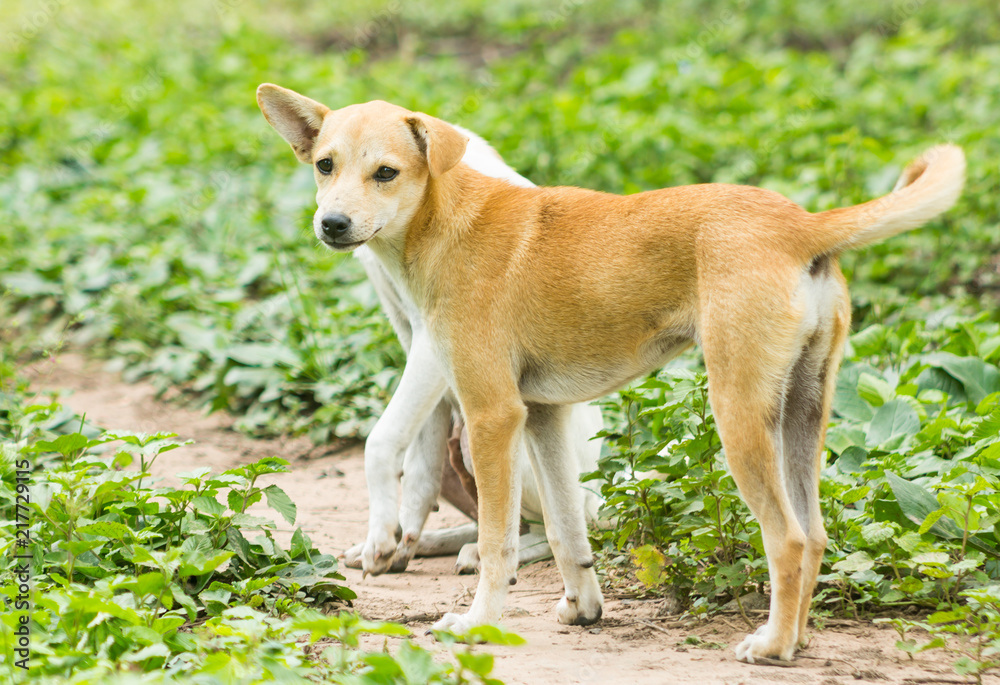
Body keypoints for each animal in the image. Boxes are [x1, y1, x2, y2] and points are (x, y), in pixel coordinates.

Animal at [256, 83, 960, 660]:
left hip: (737, 416)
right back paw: (800, 635)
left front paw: (478, 622)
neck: (444, 219)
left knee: (784, 539)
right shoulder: (542, 419)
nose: (332, 224)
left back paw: (774, 645)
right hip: (799, 417)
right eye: (324, 165)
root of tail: (802, 224)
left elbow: (497, 541)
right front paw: (583, 609)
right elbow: (567, 533)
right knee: (812, 537)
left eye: (386, 173)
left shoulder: (492, 415)